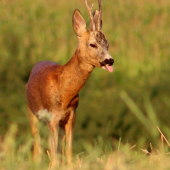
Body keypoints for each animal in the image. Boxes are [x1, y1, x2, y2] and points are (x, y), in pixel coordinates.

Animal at [26, 0, 114, 167]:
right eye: (93, 44)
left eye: (107, 44)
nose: (109, 60)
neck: (64, 91)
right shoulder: (51, 117)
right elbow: (53, 154)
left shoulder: (72, 114)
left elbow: (68, 150)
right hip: (31, 111)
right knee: (36, 147)